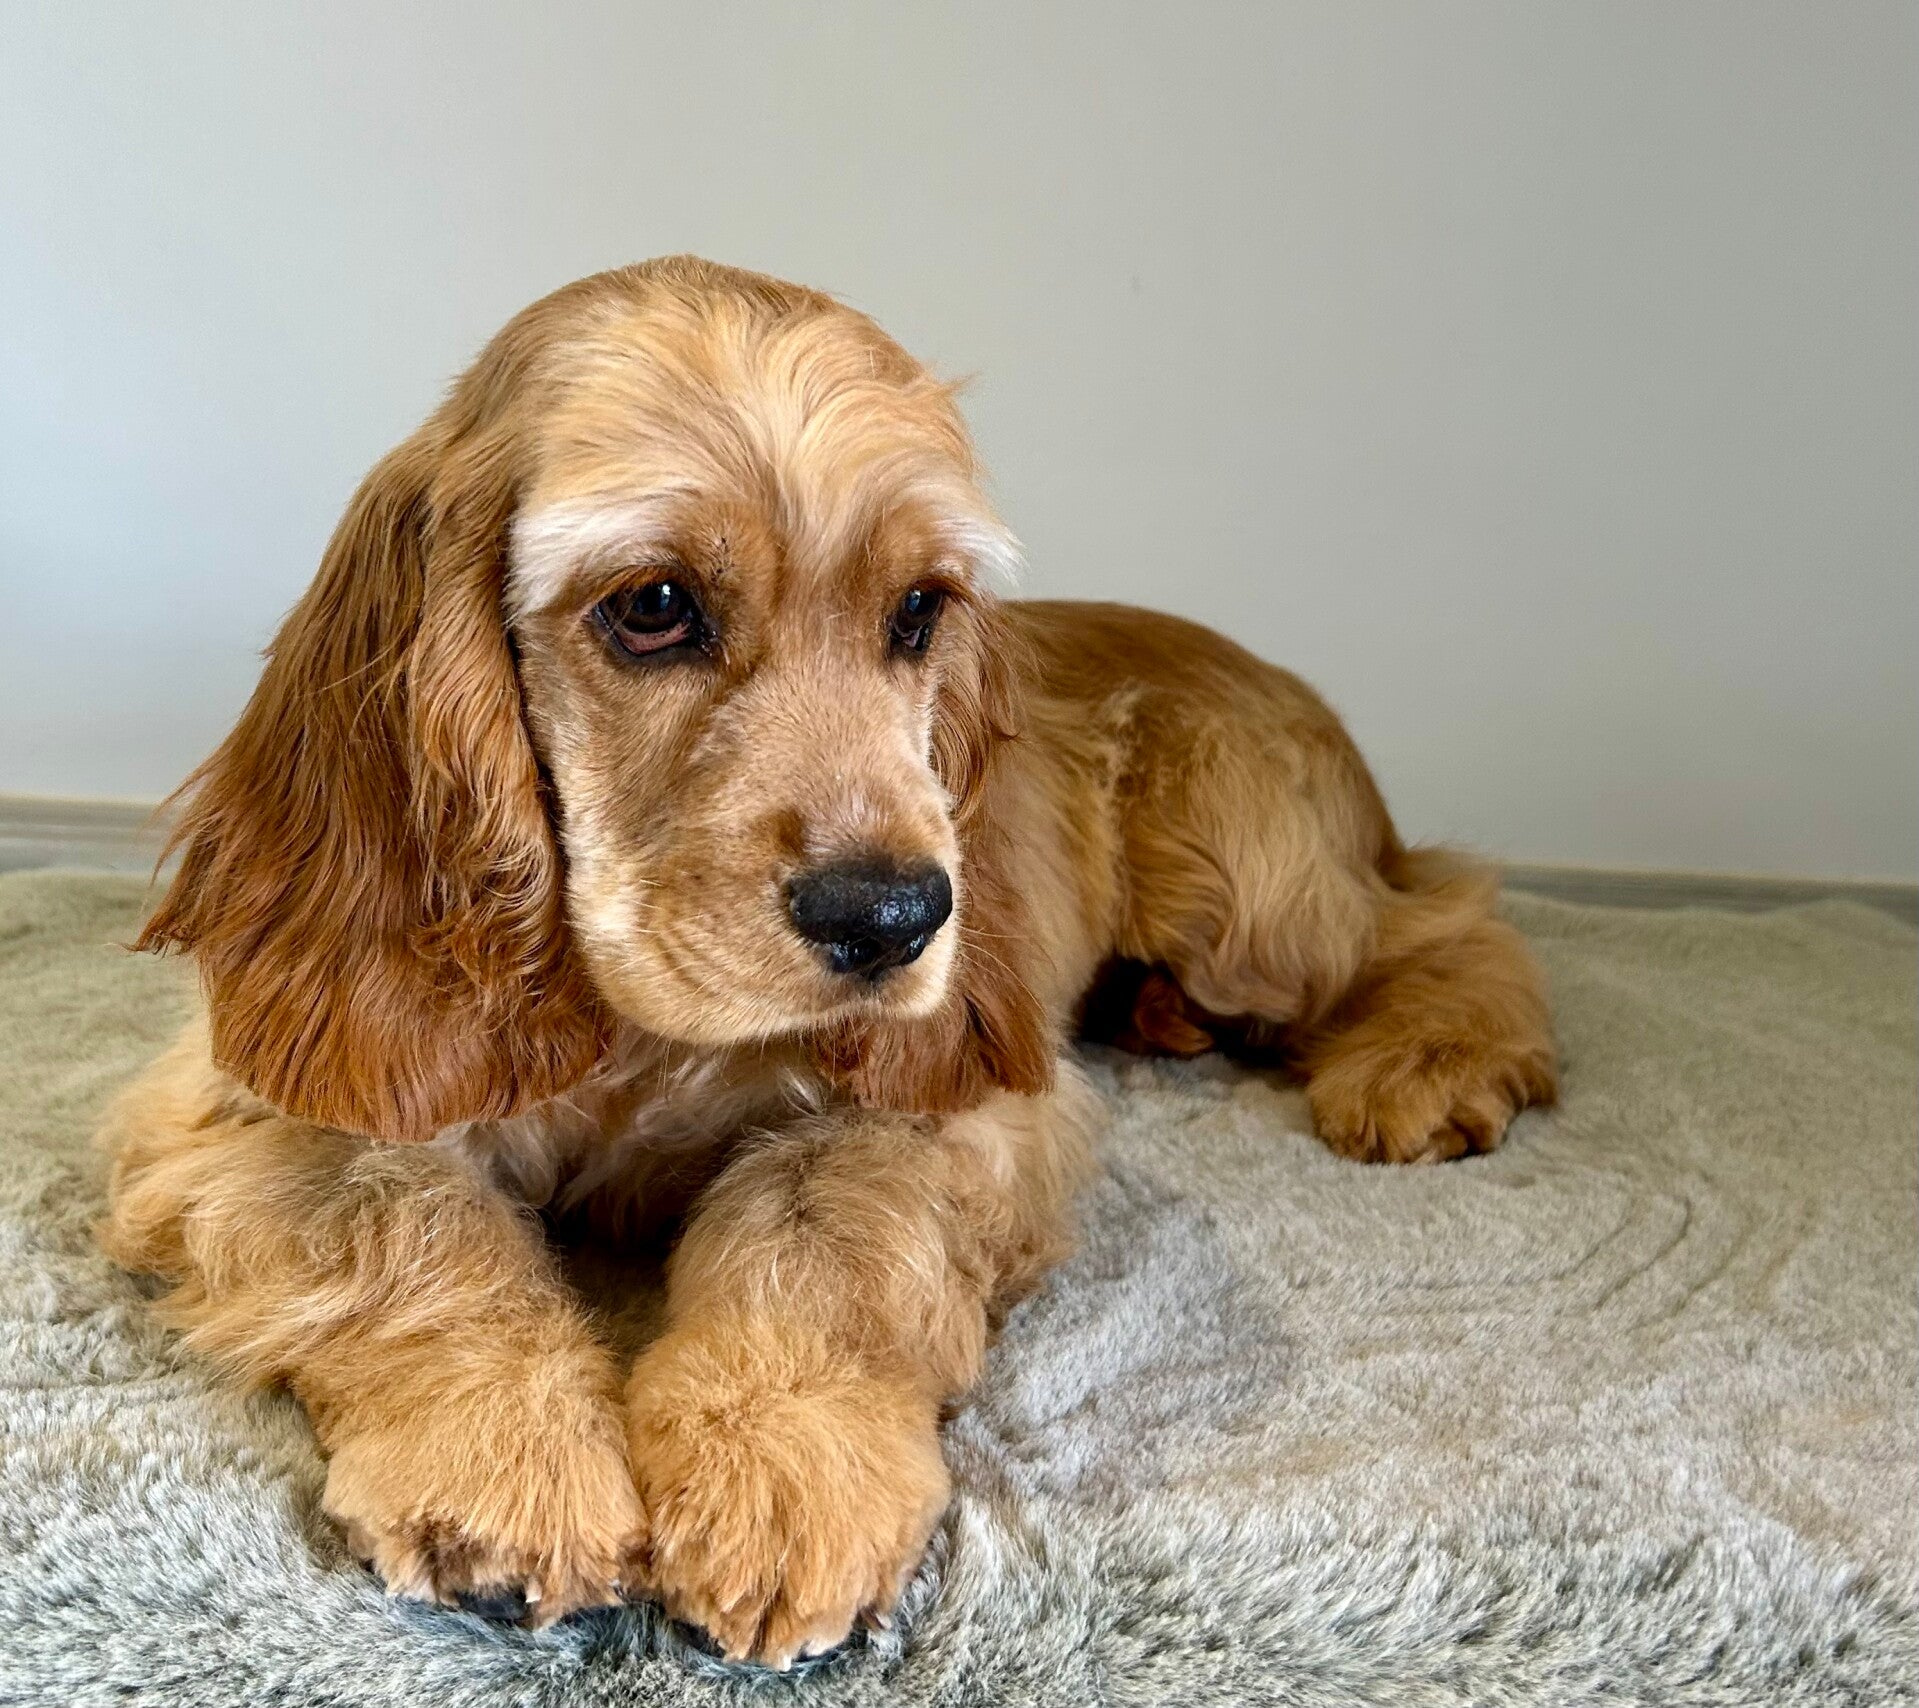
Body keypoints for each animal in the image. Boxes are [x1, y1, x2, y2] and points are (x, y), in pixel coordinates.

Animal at [97, 256, 1556, 1667]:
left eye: (918, 610)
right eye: (653, 606)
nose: (897, 916)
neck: (637, 1027)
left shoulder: (952, 1099)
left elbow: (823, 1224)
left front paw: (781, 1475)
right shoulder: (273, 1089)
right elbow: (405, 1212)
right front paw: (503, 1461)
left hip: (1244, 889)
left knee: (1445, 916)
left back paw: (1426, 1065)